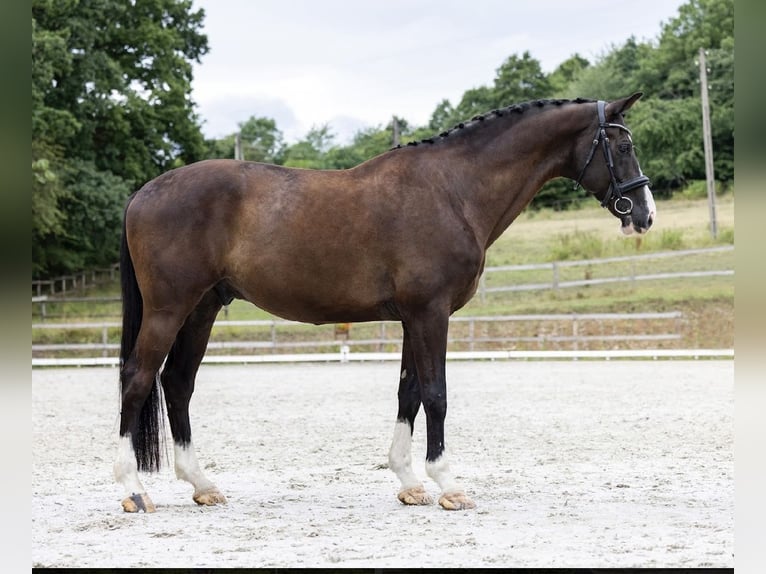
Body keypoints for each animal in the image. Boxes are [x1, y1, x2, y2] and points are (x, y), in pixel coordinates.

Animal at [117, 92, 656, 516]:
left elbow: (408, 394)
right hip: (169, 309)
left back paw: (202, 485)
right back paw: (134, 490)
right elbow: (436, 395)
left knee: (177, 383)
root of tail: (143, 193)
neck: (453, 189)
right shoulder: (430, 314)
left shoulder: (412, 318)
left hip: (202, 309)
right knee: (138, 380)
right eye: (623, 146)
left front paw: (410, 483)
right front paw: (449, 485)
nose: (645, 215)